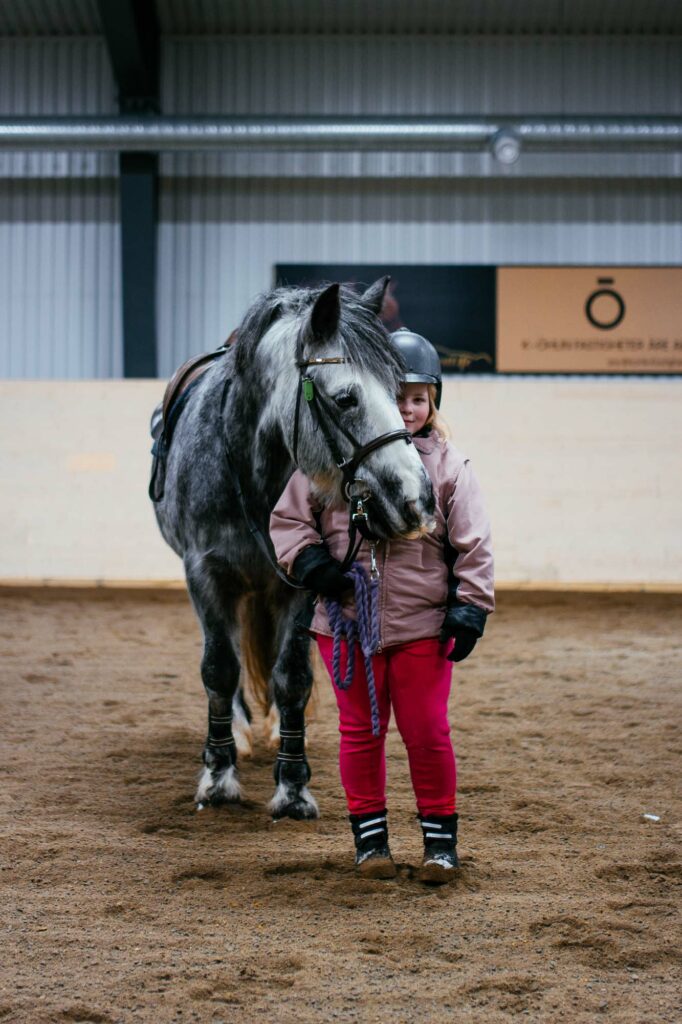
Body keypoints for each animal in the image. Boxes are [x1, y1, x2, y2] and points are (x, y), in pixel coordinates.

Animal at [151, 276, 432, 819]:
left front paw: (293, 785)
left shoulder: (305, 580)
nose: (416, 497)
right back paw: (236, 732)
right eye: (345, 399)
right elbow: (219, 669)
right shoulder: (205, 575)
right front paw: (218, 777)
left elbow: (293, 676)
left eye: (399, 392)